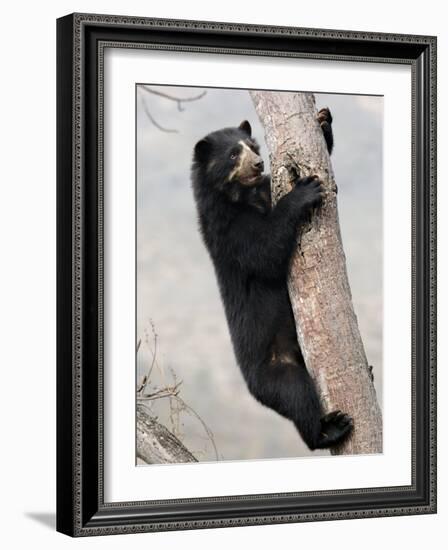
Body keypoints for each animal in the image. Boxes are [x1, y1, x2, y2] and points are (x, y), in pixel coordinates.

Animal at [191, 109, 352, 452]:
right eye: (233, 154)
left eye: (253, 146)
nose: (258, 163)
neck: (243, 197)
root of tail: (252, 388)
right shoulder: (229, 232)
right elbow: (266, 251)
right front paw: (305, 191)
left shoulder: (264, 190)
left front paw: (323, 122)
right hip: (276, 370)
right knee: (297, 395)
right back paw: (329, 430)